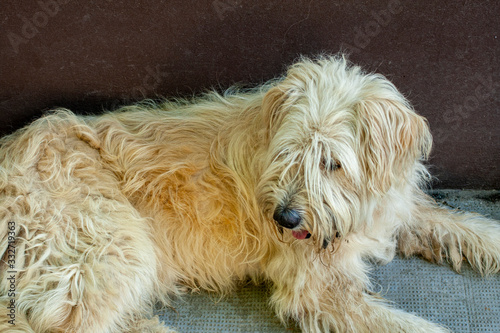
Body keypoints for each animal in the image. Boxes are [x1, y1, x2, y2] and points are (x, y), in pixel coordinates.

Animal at [0, 55, 500, 330]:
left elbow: (461, 225)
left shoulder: (393, 211)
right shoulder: (319, 290)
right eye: (288, 154)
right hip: (117, 244)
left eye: (332, 163)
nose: (285, 220)